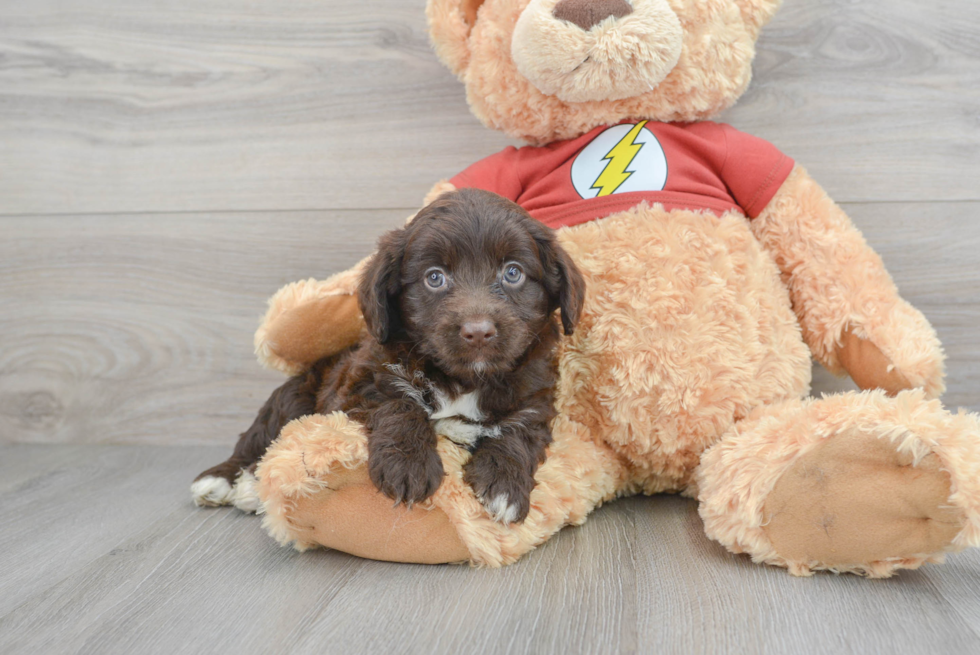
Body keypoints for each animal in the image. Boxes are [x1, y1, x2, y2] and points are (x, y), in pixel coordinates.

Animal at [195, 188, 584, 524]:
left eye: (513, 272)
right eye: (434, 278)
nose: (478, 332)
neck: (465, 378)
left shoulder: (534, 398)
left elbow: (518, 433)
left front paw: (504, 484)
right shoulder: (361, 381)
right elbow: (399, 404)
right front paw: (408, 466)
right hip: (294, 397)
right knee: (258, 439)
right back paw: (230, 481)